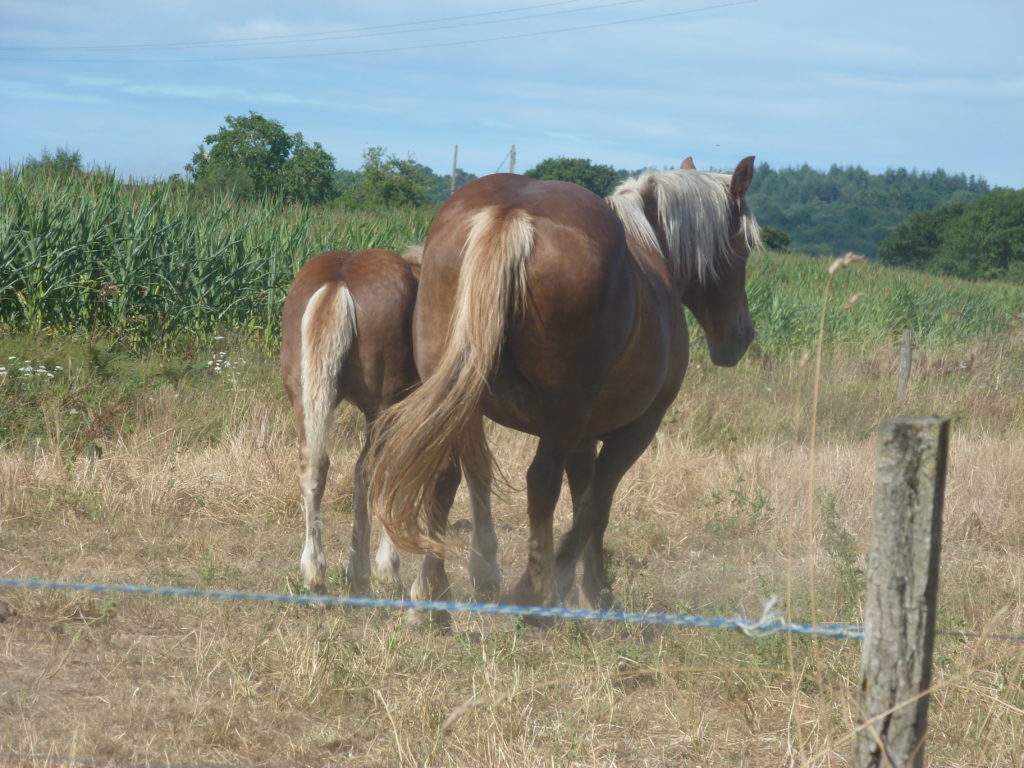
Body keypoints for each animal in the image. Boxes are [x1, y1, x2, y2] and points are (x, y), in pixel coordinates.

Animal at [278, 249, 501, 598]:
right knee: (377, 471)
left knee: (317, 467)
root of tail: (338, 282)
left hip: (308, 398)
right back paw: (382, 570)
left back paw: (321, 573)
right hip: (384, 408)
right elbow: (471, 471)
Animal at [368, 159, 761, 618]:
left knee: (445, 476)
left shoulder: (583, 436)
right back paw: (530, 593)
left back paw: (432, 599)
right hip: (560, 415)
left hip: (458, 400)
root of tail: (510, 214)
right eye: (743, 247)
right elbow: (595, 505)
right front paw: (587, 587)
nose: (741, 337)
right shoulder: (635, 429)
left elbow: (581, 496)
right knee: (540, 483)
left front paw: (582, 586)